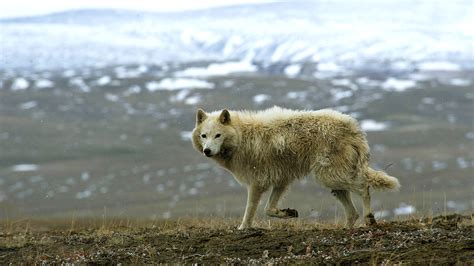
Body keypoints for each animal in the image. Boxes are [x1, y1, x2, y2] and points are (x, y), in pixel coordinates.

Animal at [193, 107, 400, 230]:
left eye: (218, 135)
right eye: (204, 136)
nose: (207, 151)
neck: (241, 138)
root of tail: (353, 127)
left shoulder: (257, 183)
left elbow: (251, 209)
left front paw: (243, 228)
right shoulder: (281, 181)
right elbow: (269, 209)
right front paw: (287, 213)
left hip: (330, 177)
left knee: (364, 187)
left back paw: (369, 218)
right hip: (333, 182)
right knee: (352, 211)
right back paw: (346, 228)